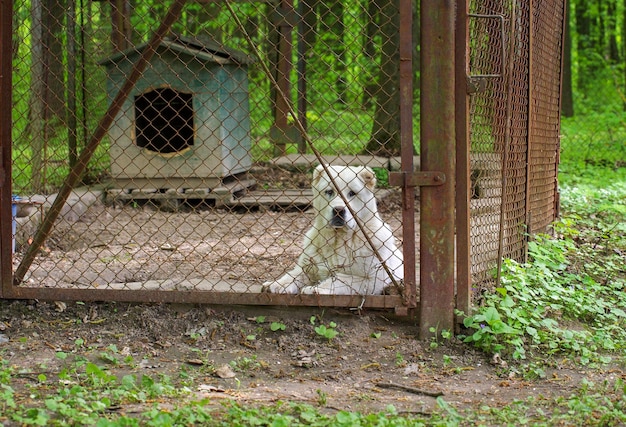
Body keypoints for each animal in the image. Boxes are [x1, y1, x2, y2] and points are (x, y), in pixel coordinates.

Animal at [262, 166, 400, 296]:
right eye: (329, 191)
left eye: (352, 193)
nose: (339, 210)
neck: (338, 239)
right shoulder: (307, 266)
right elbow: (293, 275)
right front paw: (275, 284)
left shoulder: (371, 280)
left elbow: (339, 279)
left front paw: (315, 289)